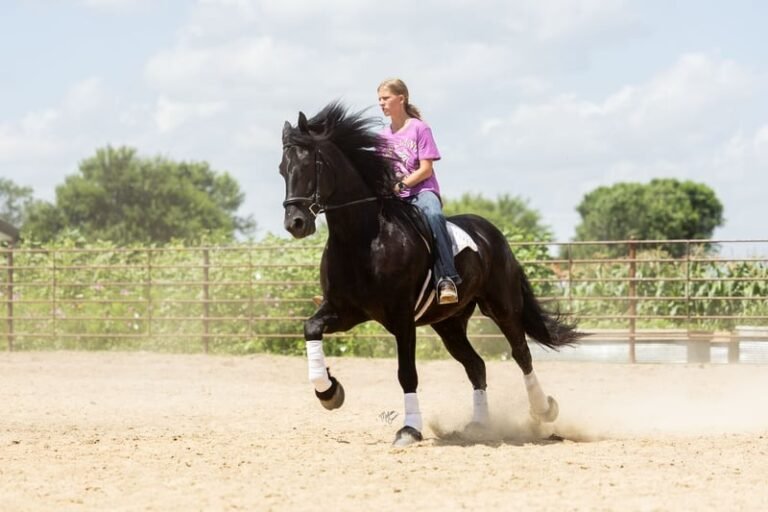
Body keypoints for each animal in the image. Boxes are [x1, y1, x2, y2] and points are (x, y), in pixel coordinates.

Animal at [279, 102, 583, 446]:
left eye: (309, 165)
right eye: (282, 168)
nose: (295, 223)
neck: (365, 239)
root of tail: (492, 233)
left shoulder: (401, 317)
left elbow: (407, 373)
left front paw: (409, 429)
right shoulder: (346, 311)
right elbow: (311, 328)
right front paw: (329, 391)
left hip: (502, 307)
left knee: (521, 354)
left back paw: (544, 410)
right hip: (449, 322)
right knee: (476, 366)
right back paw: (479, 426)